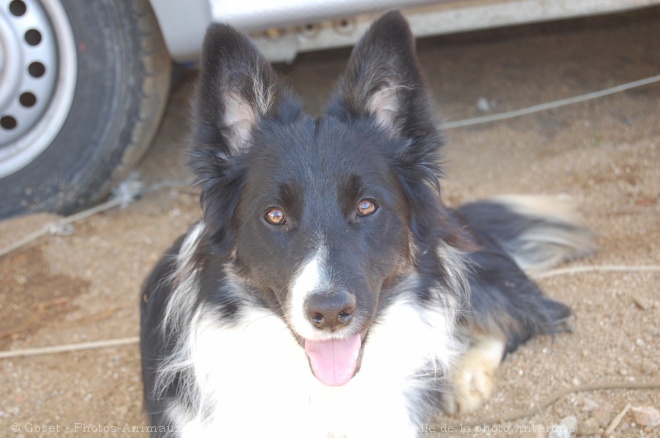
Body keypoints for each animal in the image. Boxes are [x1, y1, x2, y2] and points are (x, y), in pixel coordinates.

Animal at [139, 11, 592, 438]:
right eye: (274, 215)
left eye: (367, 206)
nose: (329, 313)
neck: (321, 391)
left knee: (524, 317)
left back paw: (465, 373)